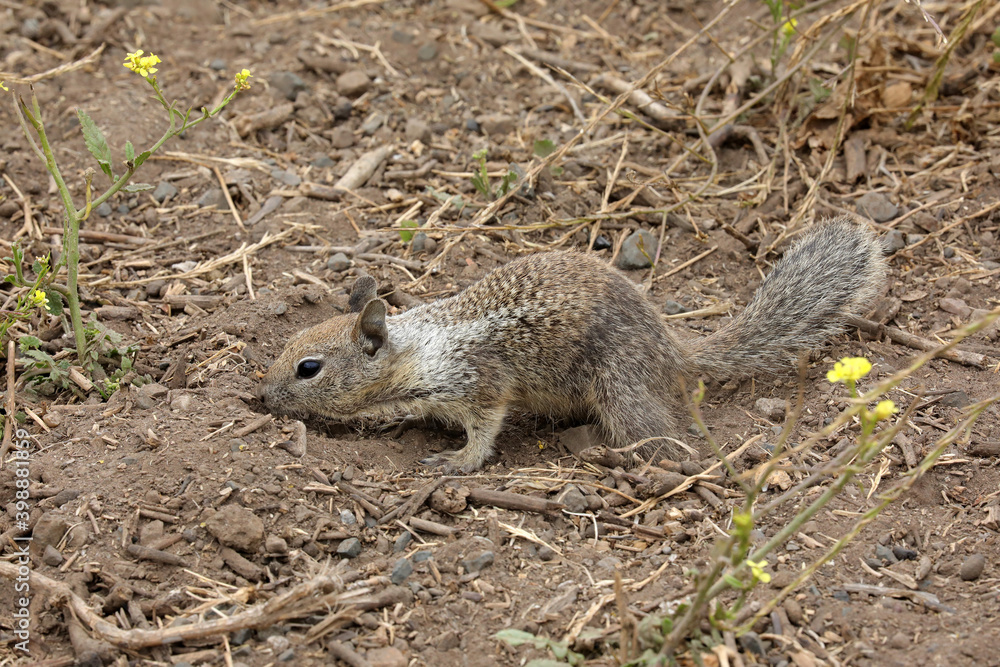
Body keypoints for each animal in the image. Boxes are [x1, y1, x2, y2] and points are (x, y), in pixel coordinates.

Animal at [257, 217, 887, 473]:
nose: (261, 398)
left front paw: (458, 461)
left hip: (618, 385)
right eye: (286, 347)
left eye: (308, 368)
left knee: (663, 437)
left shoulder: (479, 382)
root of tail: (671, 348)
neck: (417, 349)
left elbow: (484, 429)